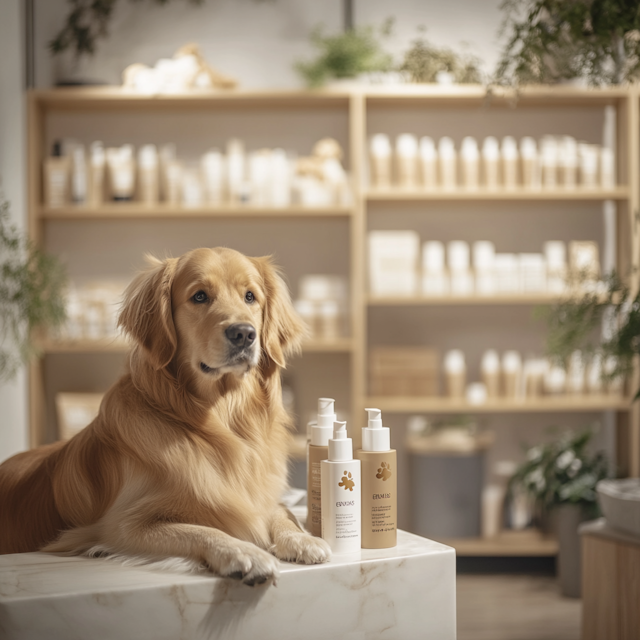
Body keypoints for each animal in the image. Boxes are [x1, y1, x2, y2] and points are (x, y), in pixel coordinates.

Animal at [0, 249, 330, 584]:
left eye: (250, 296)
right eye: (199, 296)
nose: (244, 333)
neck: (220, 419)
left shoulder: (262, 496)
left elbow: (282, 511)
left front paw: (301, 538)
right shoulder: (116, 527)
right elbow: (200, 529)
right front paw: (245, 552)